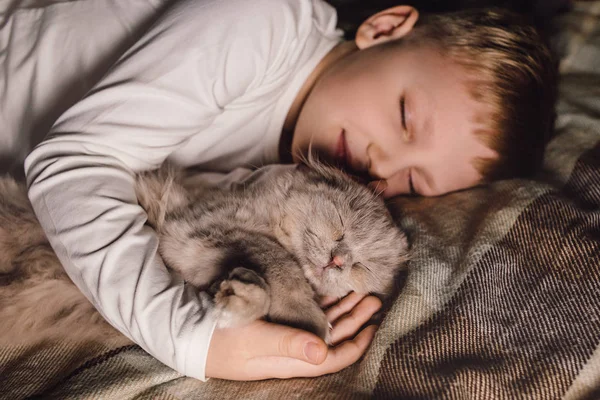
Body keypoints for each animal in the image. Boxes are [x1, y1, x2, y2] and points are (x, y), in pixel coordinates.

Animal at [135, 161, 408, 342]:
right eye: (340, 228)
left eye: (363, 266)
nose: (338, 260)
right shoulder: (201, 227)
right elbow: (282, 264)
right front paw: (302, 316)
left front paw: (237, 297)